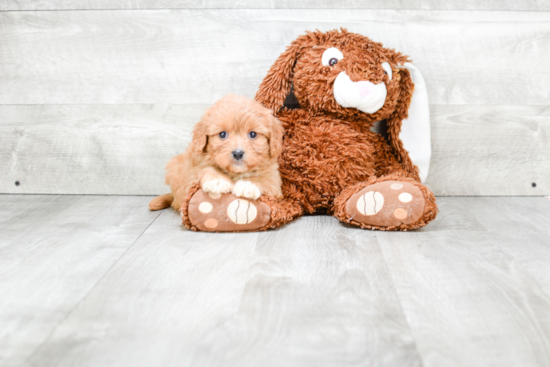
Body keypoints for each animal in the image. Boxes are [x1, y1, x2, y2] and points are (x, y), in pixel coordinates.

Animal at [149, 93, 284, 211]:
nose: (238, 153)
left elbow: (264, 180)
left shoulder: (275, 183)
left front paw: (248, 185)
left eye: (253, 134)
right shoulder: (194, 172)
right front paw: (217, 181)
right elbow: (207, 169)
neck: (235, 173)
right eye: (222, 134)